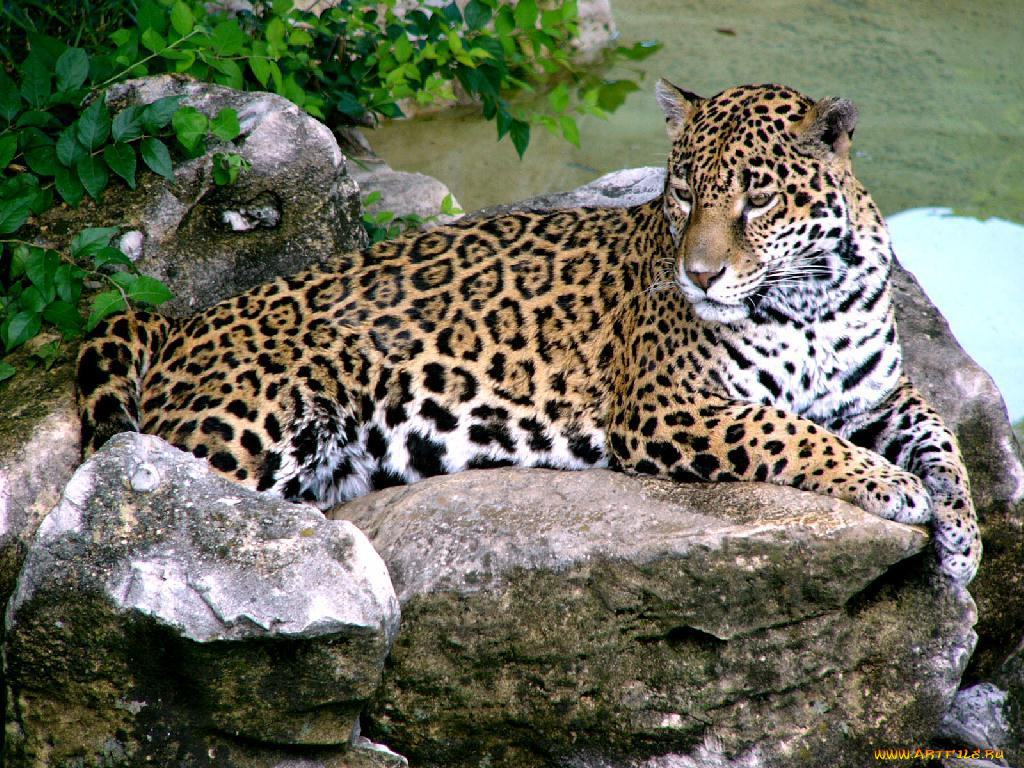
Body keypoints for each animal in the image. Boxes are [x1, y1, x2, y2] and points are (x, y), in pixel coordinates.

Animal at [77, 81, 981, 584]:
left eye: (757, 199)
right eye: (685, 194)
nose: (699, 275)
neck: (813, 299)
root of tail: (183, 319)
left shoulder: (880, 395)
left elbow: (944, 439)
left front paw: (962, 539)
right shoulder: (669, 408)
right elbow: (790, 433)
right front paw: (890, 486)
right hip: (248, 433)